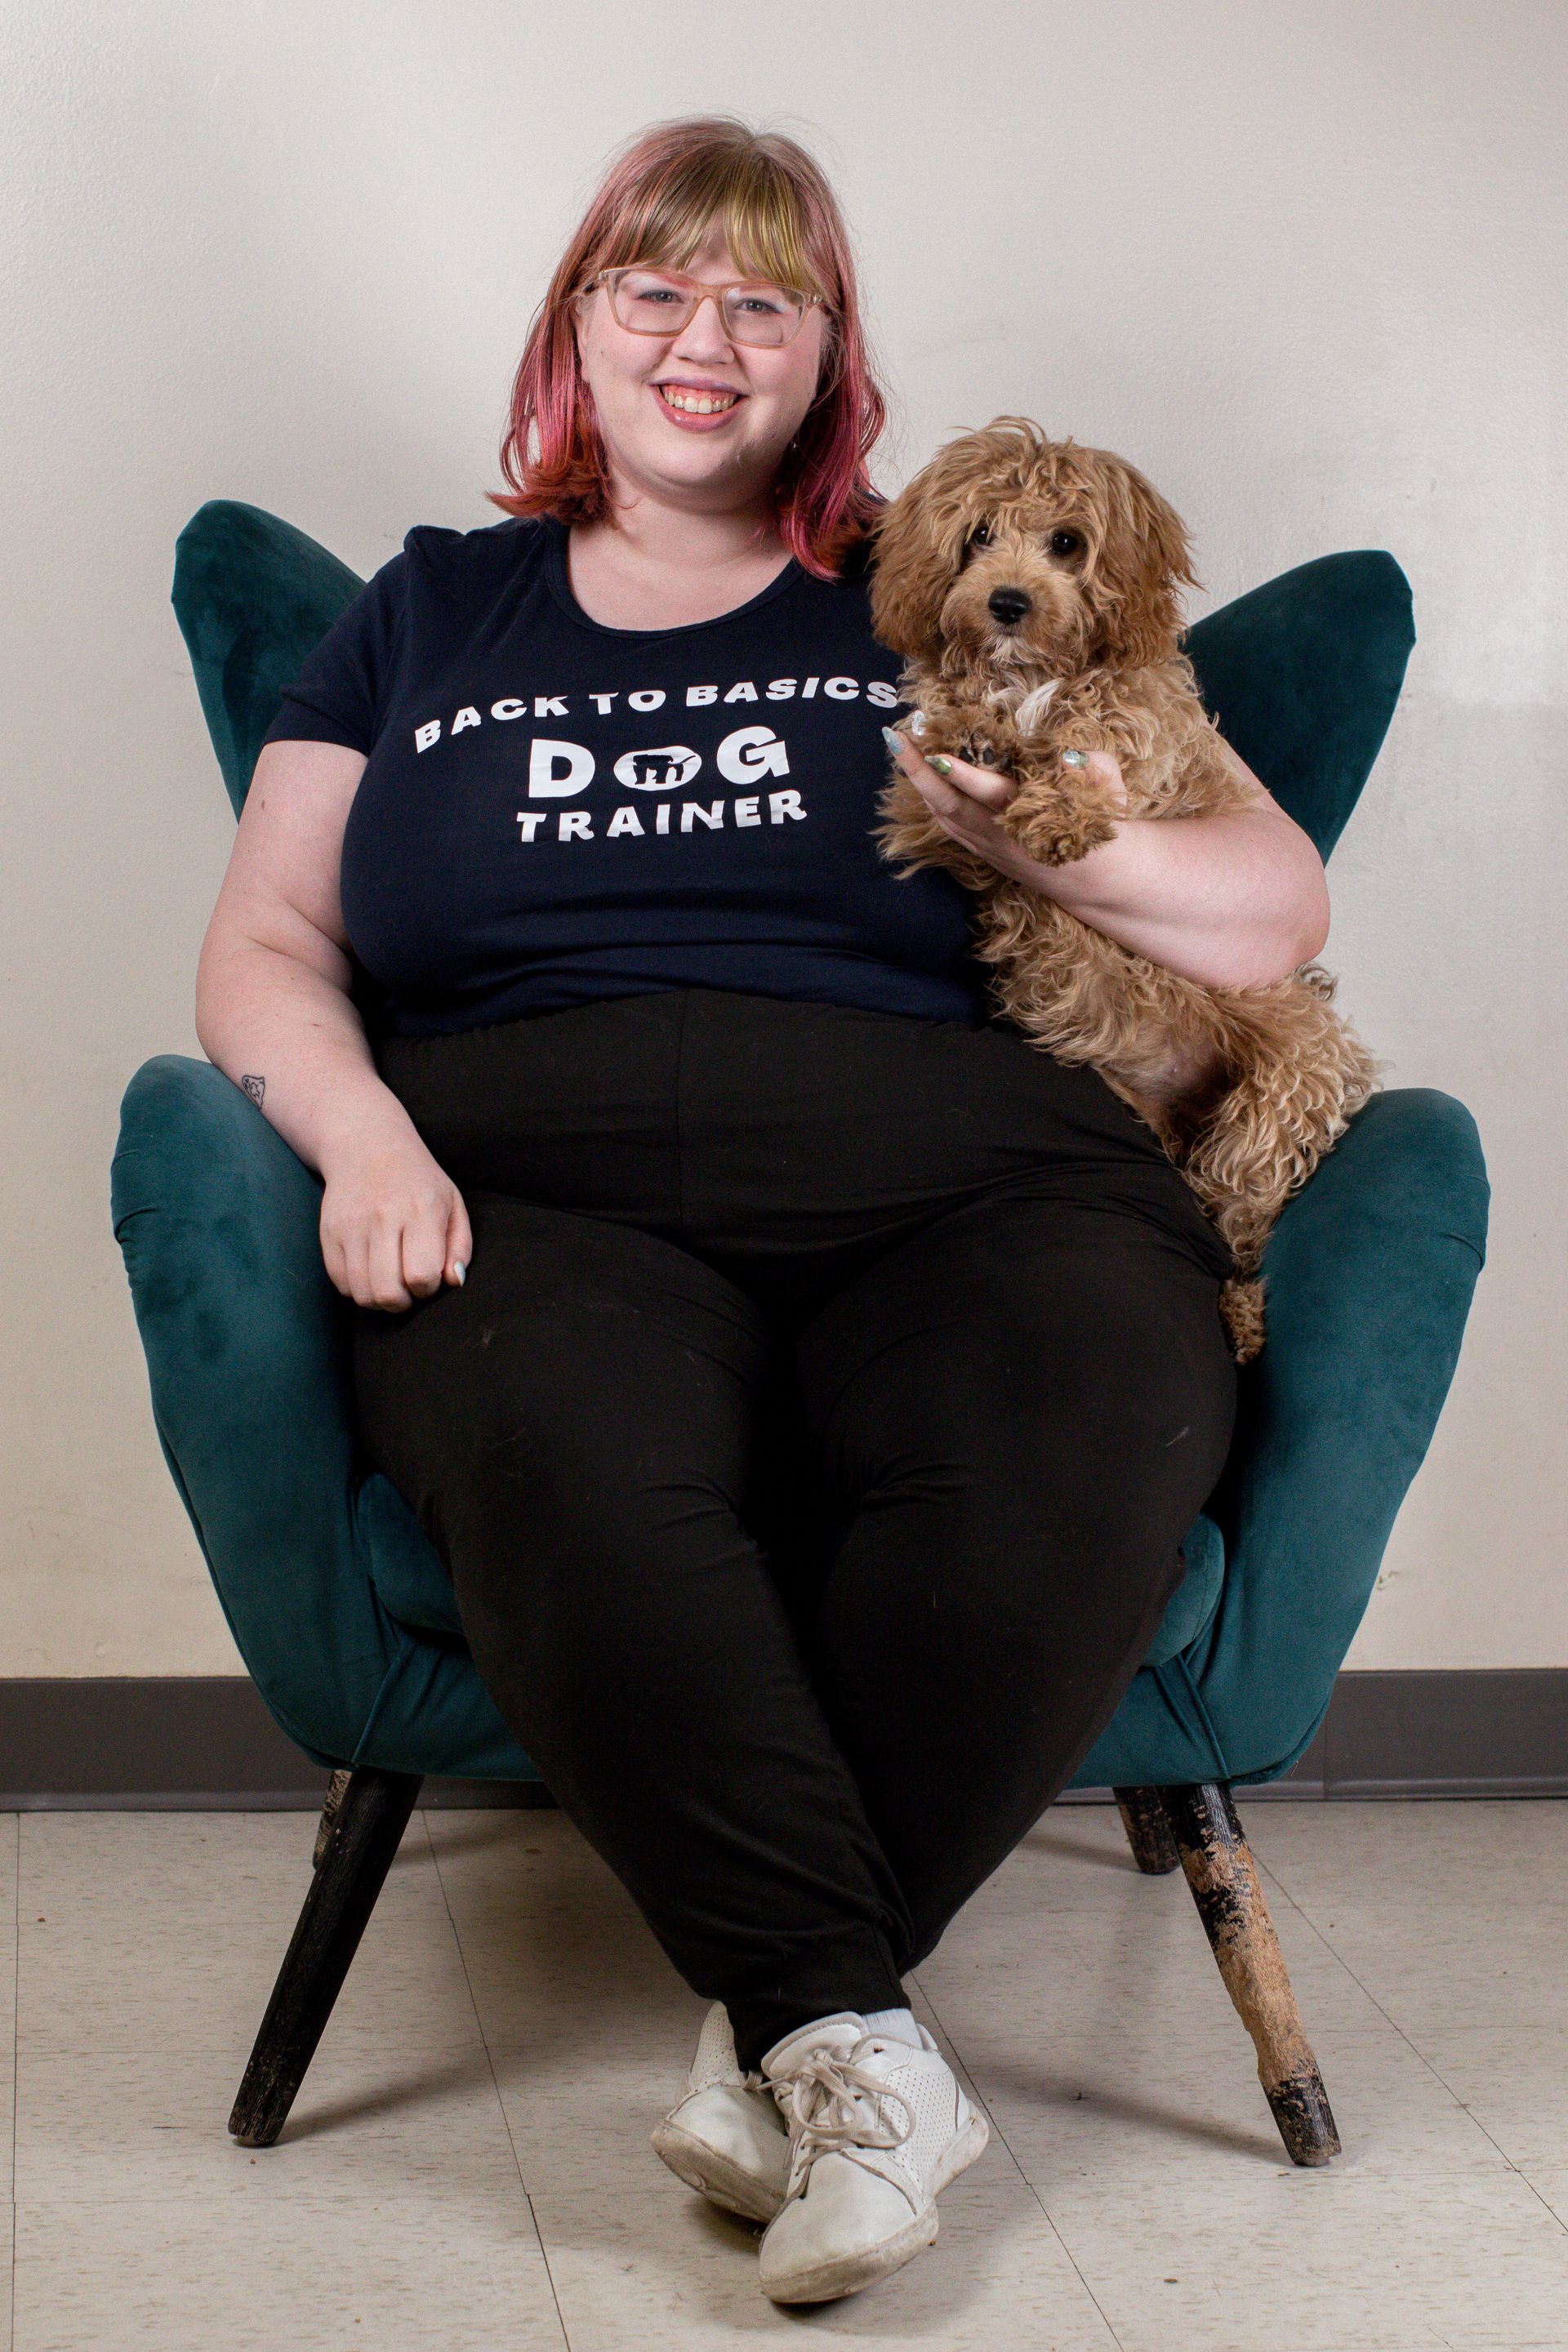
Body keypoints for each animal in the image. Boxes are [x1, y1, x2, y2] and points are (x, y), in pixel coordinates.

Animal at [879, 423, 1382, 1364]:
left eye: (1067, 543)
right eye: (979, 535)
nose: (1006, 602)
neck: (1027, 677)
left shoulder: (1140, 753)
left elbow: (1088, 737)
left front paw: (1058, 805)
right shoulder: (921, 805)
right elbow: (952, 737)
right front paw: (978, 732)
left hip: (1283, 1091)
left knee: (1245, 1223)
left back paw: (1243, 1316)